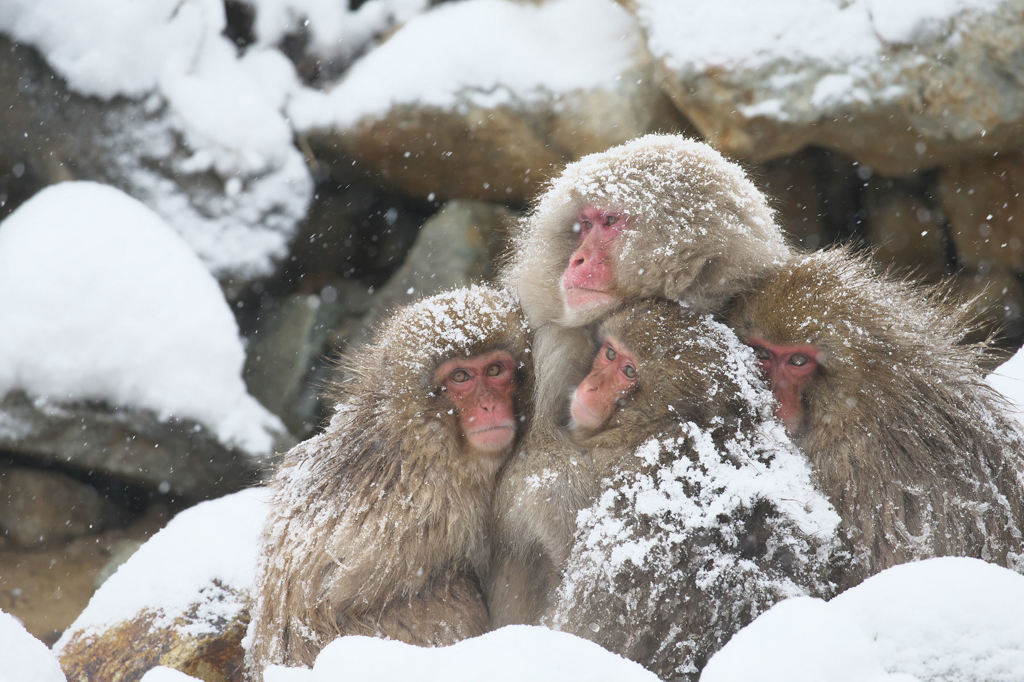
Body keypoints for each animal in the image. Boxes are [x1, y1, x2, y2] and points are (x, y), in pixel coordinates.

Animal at [246, 284, 532, 671]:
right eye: (460, 377)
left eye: (495, 369)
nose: (489, 406)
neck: (415, 435)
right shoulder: (438, 501)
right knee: (451, 595)